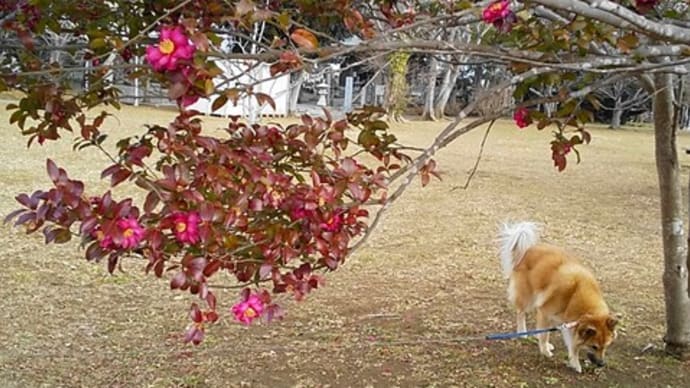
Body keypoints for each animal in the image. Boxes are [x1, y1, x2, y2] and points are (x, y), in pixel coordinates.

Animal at [494, 221, 620, 372]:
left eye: (606, 346)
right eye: (593, 346)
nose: (602, 364)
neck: (575, 294)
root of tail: (528, 249)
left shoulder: (566, 321)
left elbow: (569, 343)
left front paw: (573, 362)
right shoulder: (546, 312)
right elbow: (546, 335)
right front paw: (545, 351)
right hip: (527, 297)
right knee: (521, 313)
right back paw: (523, 332)